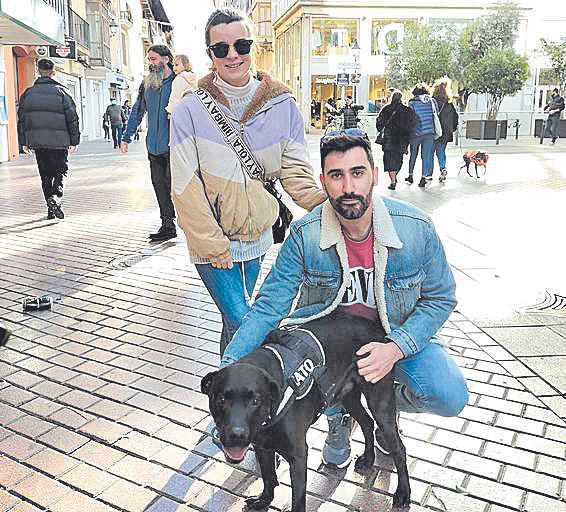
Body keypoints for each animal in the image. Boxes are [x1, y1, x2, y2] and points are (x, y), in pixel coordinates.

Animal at [202, 310, 410, 510]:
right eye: (221, 399)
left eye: (255, 401)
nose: (236, 436)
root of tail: (379, 330)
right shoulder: (262, 446)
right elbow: (269, 478)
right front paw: (263, 501)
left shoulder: (299, 457)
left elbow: (297, 501)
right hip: (348, 397)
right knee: (367, 422)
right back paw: (368, 460)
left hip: (379, 401)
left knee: (398, 448)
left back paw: (403, 492)